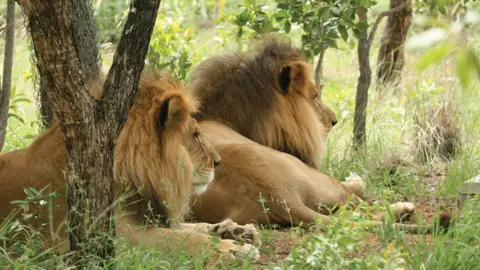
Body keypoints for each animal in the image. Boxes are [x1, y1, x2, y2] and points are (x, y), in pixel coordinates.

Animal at [0, 71, 260, 262]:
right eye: (195, 135)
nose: (218, 161)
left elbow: (194, 228)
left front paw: (237, 231)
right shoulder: (116, 237)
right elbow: (186, 239)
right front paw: (235, 250)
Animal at [188, 37, 450, 233]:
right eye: (314, 96)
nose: (334, 120)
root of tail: (277, 195)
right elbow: (360, 183)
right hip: (319, 179)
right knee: (363, 208)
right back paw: (404, 208)